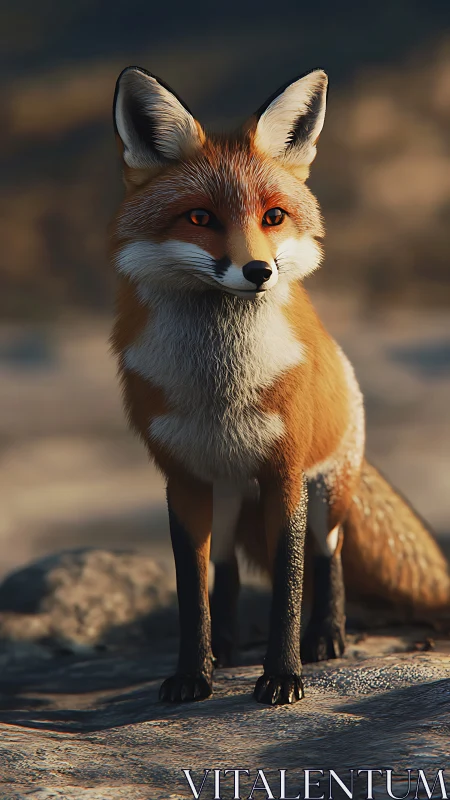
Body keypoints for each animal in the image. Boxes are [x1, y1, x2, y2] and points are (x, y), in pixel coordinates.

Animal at [109, 66, 450, 705]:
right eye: (200, 217)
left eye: (273, 217)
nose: (258, 271)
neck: (221, 390)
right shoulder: (183, 480)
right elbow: (193, 589)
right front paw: (194, 674)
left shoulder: (285, 474)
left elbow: (290, 585)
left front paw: (283, 676)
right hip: (228, 496)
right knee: (227, 572)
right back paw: (228, 646)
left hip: (329, 491)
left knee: (327, 556)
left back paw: (327, 637)